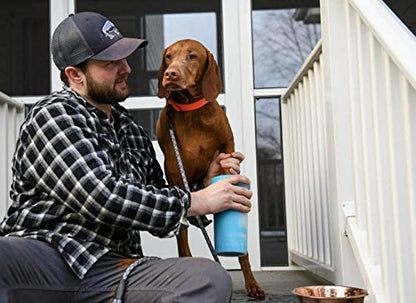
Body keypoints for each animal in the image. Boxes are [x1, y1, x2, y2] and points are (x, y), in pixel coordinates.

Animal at [156, 39, 266, 300]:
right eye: (168, 56)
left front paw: (252, 283)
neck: (192, 112)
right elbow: (182, 241)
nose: (170, 74)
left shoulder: (227, 151)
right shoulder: (175, 174)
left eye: (192, 56)